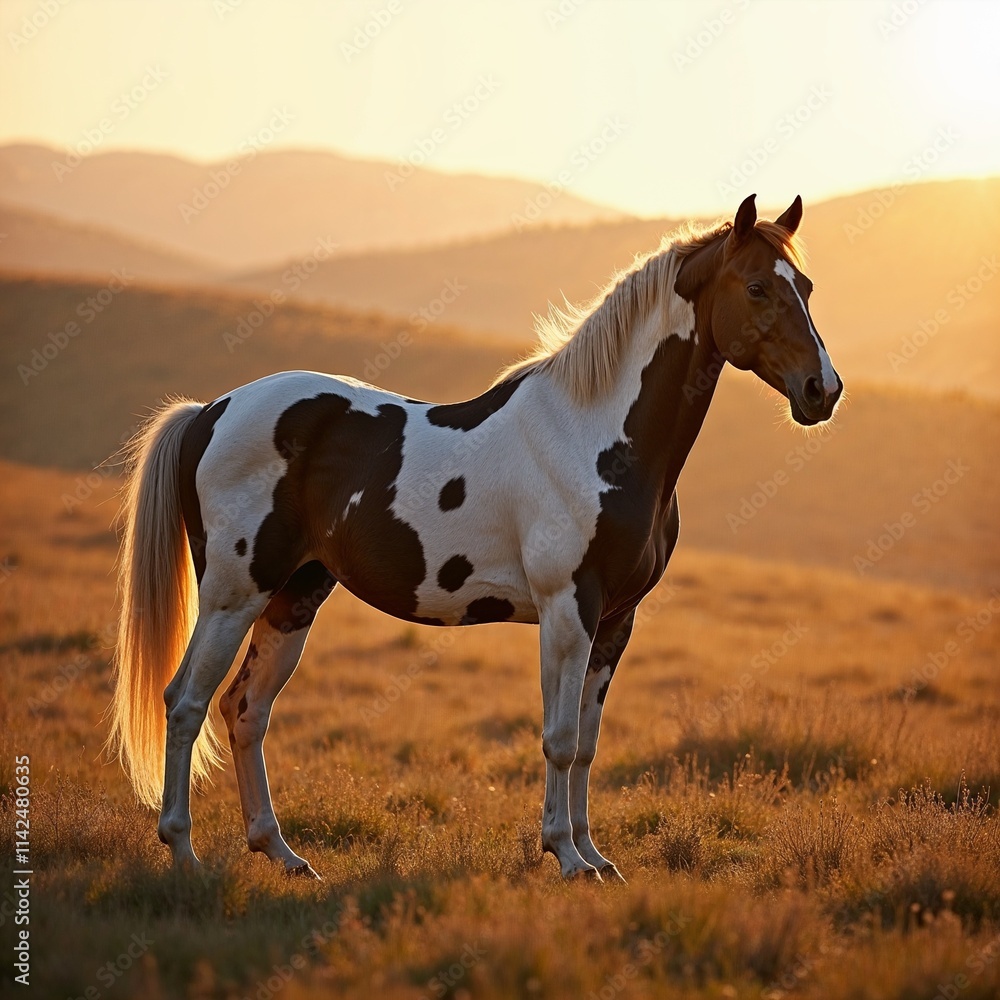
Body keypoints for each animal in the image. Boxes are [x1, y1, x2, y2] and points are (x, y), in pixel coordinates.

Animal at [108, 193, 842, 882]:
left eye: (805, 287)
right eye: (756, 287)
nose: (823, 390)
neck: (597, 437)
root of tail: (210, 412)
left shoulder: (615, 620)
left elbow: (588, 743)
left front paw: (597, 857)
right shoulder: (567, 609)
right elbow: (559, 736)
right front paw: (565, 856)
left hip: (294, 596)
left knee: (245, 709)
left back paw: (283, 855)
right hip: (234, 595)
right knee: (185, 702)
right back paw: (183, 854)